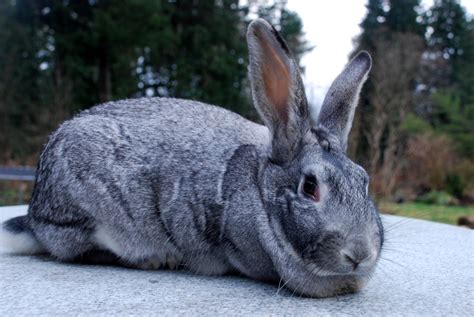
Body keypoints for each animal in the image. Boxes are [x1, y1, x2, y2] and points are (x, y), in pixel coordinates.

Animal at [0, 19, 384, 296]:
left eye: (364, 182)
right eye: (309, 187)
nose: (359, 254)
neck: (260, 191)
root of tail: (35, 212)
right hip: (86, 212)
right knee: (81, 251)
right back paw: (159, 259)